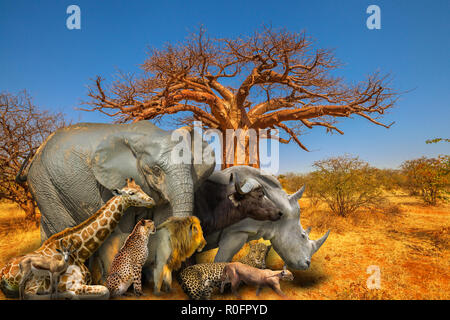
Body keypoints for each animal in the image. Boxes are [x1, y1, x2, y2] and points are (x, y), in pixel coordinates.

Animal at [0, 179, 156, 298]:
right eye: (131, 193)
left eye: (140, 188)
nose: (151, 200)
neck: (81, 252)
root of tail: (3, 272)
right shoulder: (74, 284)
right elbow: (104, 291)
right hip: (35, 280)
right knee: (30, 295)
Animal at [20, 120, 217, 282]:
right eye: (155, 170)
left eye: (191, 166)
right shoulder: (111, 184)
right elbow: (123, 227)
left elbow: (162, 216)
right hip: (43, 183)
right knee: (63, 228)